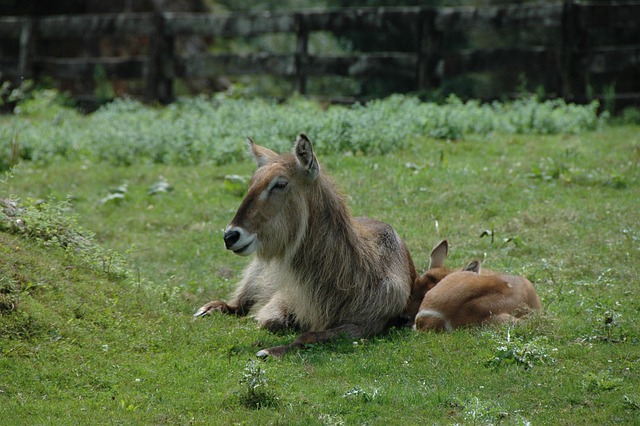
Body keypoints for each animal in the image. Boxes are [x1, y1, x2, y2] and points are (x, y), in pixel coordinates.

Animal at [192, 135, 418, 358]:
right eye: (252, 182)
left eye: (280, 183)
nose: (230, 236)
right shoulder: (281, 300)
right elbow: (269, 320)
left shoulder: (364, 326)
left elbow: (307, 336)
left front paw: (270, 351)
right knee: (235, 306)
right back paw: (207, 310)